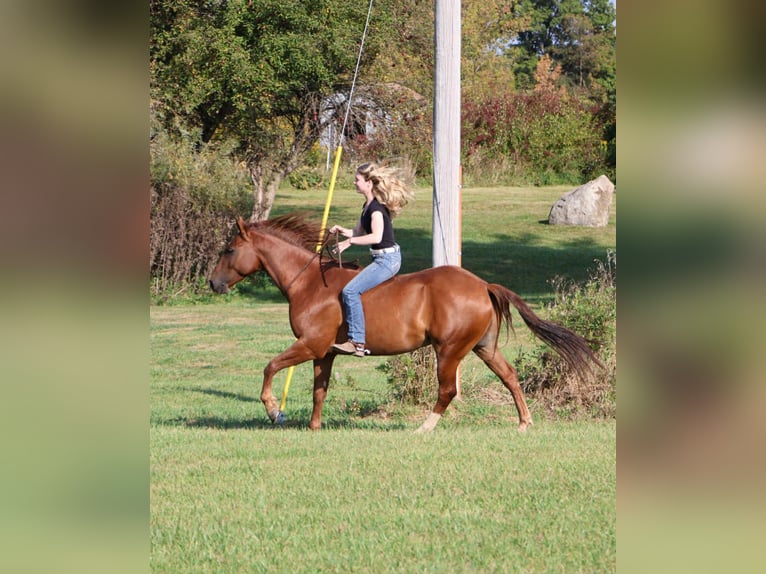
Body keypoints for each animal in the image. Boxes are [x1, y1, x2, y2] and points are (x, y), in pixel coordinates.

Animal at [209, 213, 601, 432]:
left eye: (229, 250)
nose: (212, 284)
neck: (308, 282)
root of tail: (482, 284)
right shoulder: (325, 353)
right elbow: (320, 390)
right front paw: (314, 428)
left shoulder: (310, 345)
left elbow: (270, 367)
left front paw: (275, 411)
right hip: (483, 347)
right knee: (510, 377)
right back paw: (523, 423)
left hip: (450, 350)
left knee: (447, 390)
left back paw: (424, 428)